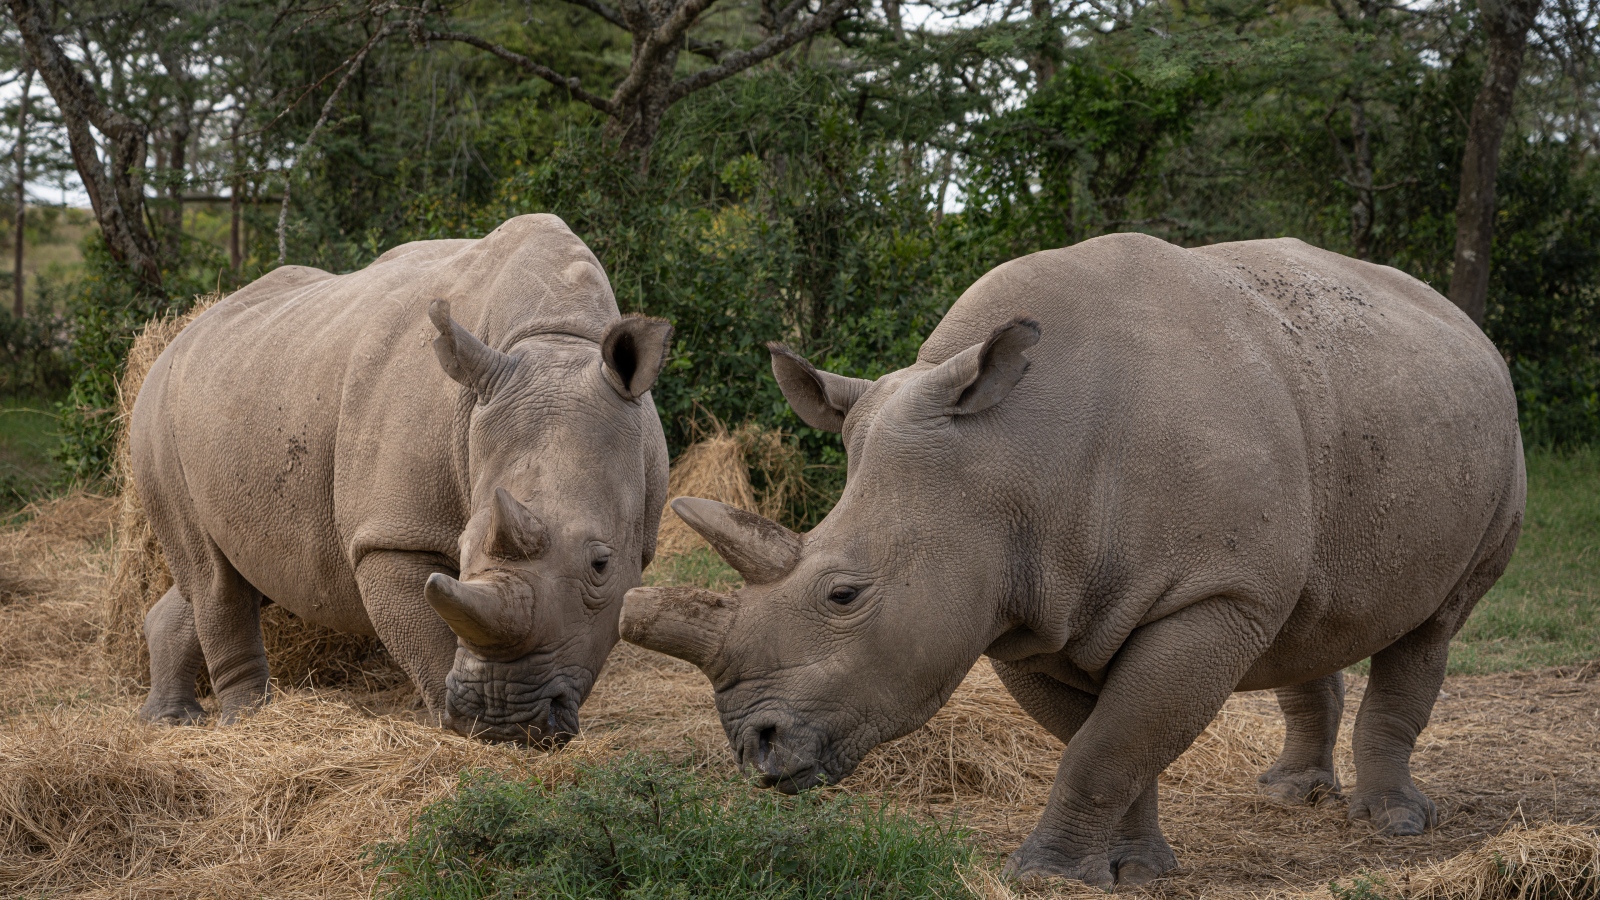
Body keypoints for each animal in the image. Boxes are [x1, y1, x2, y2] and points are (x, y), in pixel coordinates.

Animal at [132, 214, 671, 745]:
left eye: (602, 564)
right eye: (463, 547)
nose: (503, 720)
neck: (556, 338)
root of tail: (172, 340)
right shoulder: (392, 537)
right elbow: (428, 641)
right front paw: (454, 734)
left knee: (231, 572)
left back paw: (170, 720)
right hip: (157, 415)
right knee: (215, 581)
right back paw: (246, 725)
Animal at [620, 234, 1525, 888]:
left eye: (843, 595)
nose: (757, 746)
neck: (1010, 454)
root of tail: (1461, 320)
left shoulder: (1211, 594)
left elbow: (1111, 743)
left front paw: (1046, 877)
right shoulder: (1022, 607)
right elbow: (1108, 740)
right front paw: (1134, 870)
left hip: (1495, 438)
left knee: (1436, 622)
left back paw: (1392, 824)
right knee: (1309, 610)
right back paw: (1289, 795)